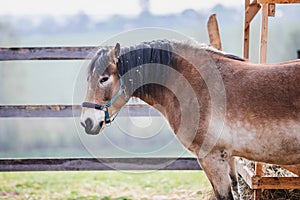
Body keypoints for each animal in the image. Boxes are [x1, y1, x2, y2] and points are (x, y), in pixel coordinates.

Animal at [79, 39, 300, 199]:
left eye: (104, 79)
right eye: (88, 79)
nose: (86, 121)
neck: (192, 84)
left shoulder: (212, 158)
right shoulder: (228, 158)